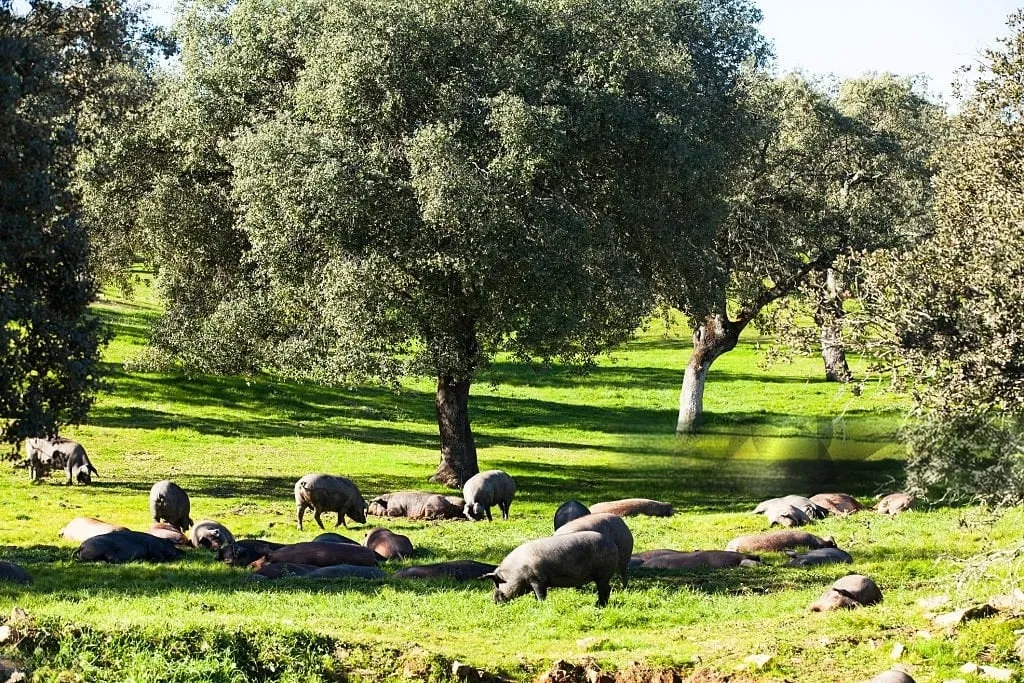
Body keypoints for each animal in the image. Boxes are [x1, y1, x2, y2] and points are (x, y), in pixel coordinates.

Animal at [484, 530, 617, 606]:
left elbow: (540, 595)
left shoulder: (538, 579)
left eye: (497, 583)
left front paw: (541, 605)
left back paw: (599, 605)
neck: (516, 571)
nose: (494, 602)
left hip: (603, 573)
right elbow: (536, 595)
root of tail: (612, 543)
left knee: (605, 589)